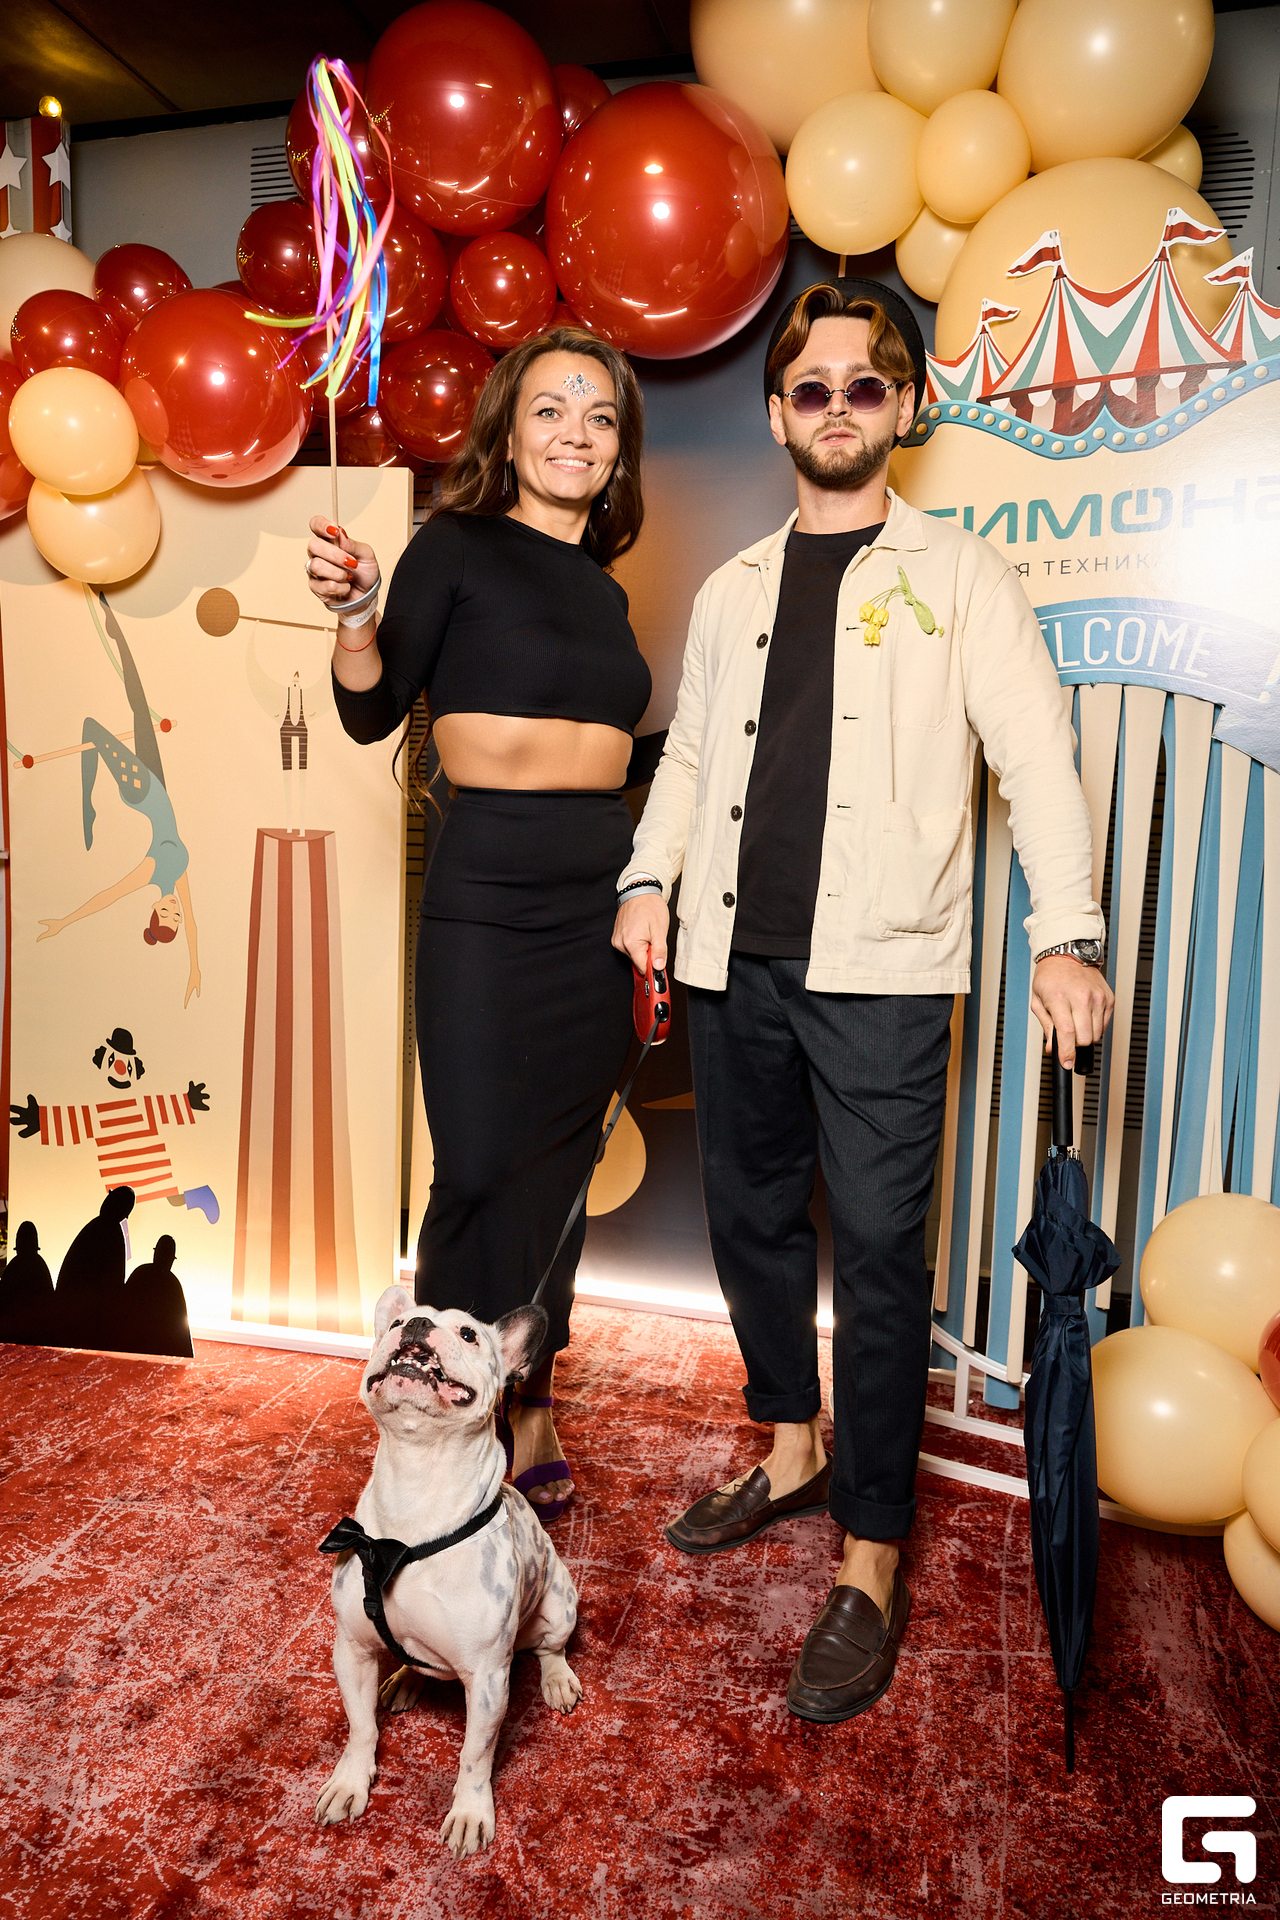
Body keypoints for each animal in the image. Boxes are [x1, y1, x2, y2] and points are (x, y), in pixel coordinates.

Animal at [314, 1285, 582, 1856]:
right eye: (394, 1325)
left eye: (468, 1333)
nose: (414, 1324)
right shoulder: (352, 1650)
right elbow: (360, 1728)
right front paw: (350, 1782)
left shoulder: (487, 1681)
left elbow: (475, 1757)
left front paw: (469, 1813)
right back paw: (403, 1681)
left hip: (559, 1606)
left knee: (551, 1649)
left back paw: (556, 1680)